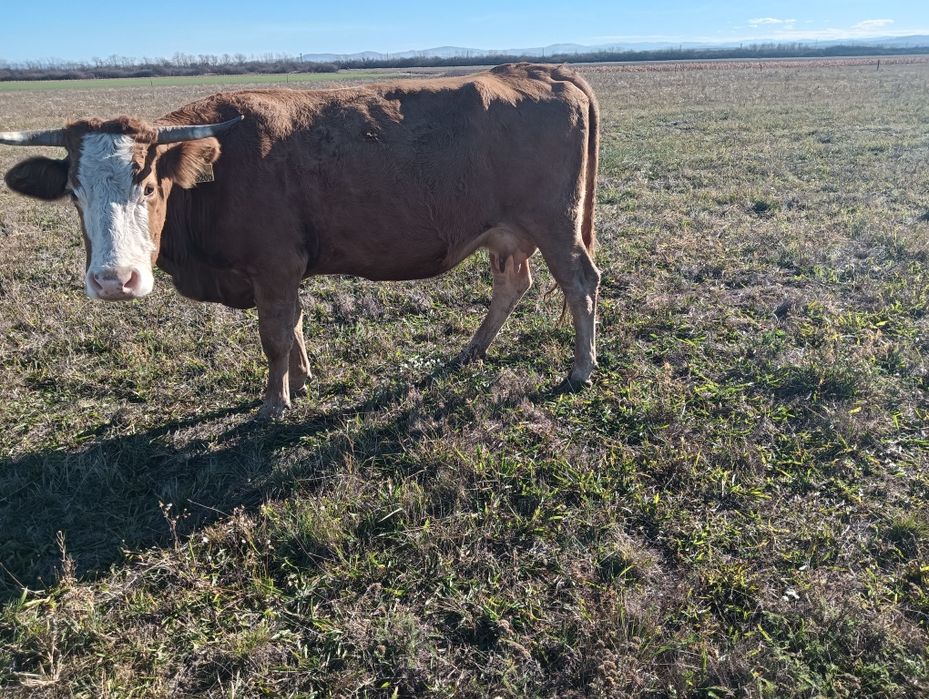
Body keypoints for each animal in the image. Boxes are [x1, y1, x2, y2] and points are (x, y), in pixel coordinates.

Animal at [1, 63, 601, 418]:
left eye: (149, 186)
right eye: (74, 192)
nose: (114, 280)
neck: (219, 172)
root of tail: (538, 70)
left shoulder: (274, 266)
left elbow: (274, 335)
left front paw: (275, 401)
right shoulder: (283, 271)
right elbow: (295, 325)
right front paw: (304, 377)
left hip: (555, 223)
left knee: (581, 284)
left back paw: (580, 368)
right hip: (508, 233)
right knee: (513, 284)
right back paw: (474, 349)